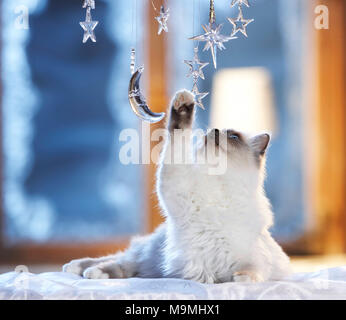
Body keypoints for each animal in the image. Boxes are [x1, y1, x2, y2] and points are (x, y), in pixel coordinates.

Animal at [62, 89, 292, 282]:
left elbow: (250, 271)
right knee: (118, 262)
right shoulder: (177, 184)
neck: (216, 189)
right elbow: (177, 132)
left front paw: (241, 278)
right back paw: (81, 268)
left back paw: (86, 271)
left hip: (149, 264)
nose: (215, 131)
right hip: (149, 256)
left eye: (233, 136)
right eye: (213, 131)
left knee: (124, 266)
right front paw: (183, 103)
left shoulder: (253, 258)